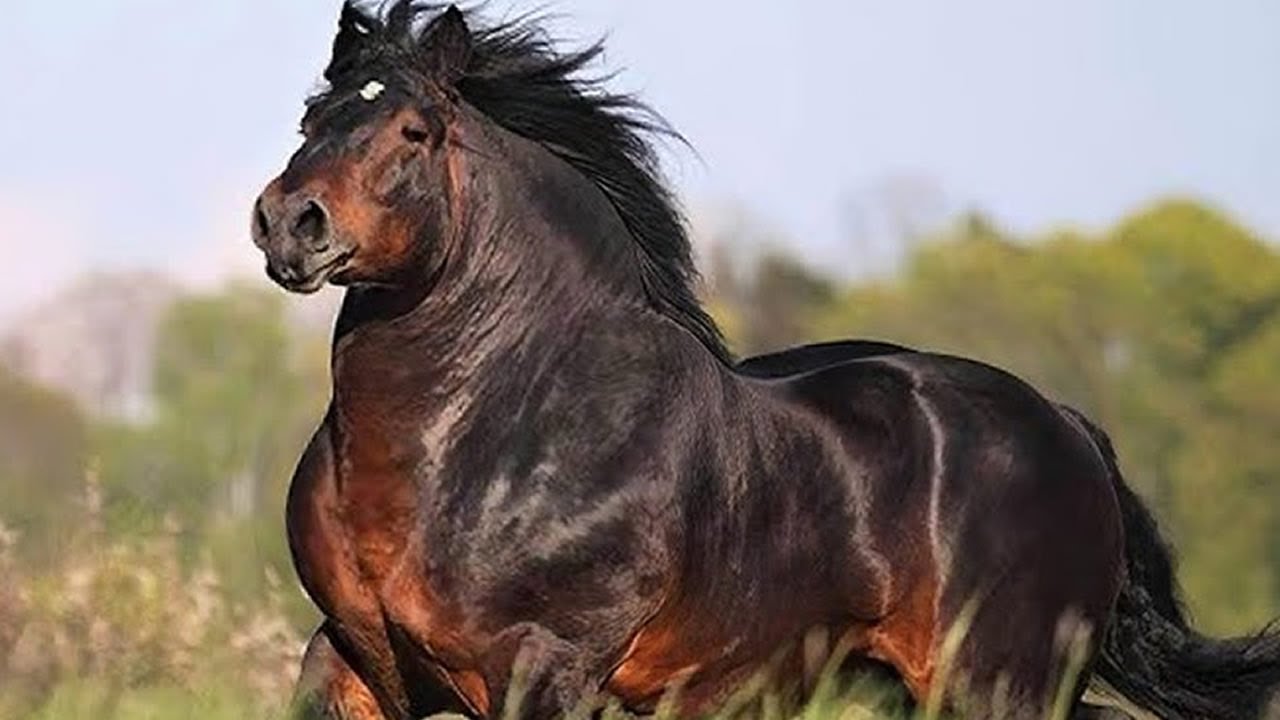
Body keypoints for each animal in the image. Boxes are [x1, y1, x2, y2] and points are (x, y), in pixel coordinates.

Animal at [250, 4, 1280, 718]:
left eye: (413, 133)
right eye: (310, 118)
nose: (289, 223)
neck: (486, 444)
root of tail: (1065, 426)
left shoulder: (544, 667)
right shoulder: (352, 659)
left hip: (996, 685)